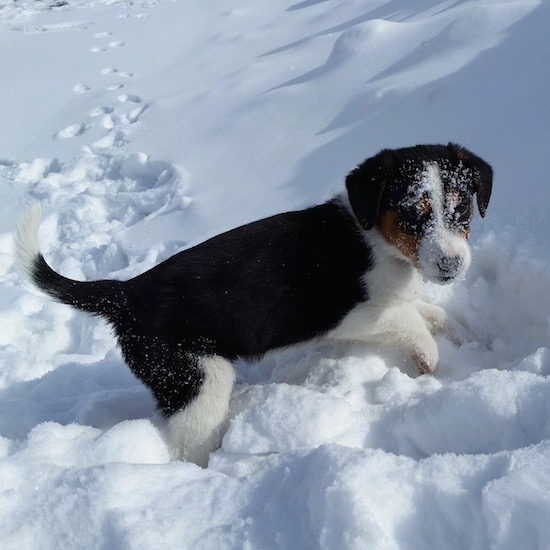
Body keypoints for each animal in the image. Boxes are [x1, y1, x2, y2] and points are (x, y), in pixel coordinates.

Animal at [14, 144, 496, 468]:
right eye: (414, 213)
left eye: (462, 211)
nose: (452, 265)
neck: (377, 238)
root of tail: (125, 293)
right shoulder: (348, 313)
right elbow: (408, 319)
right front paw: (430, 359)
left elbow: (430, 312)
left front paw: (470, 340)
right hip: (196, 380)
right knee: (186, 444)